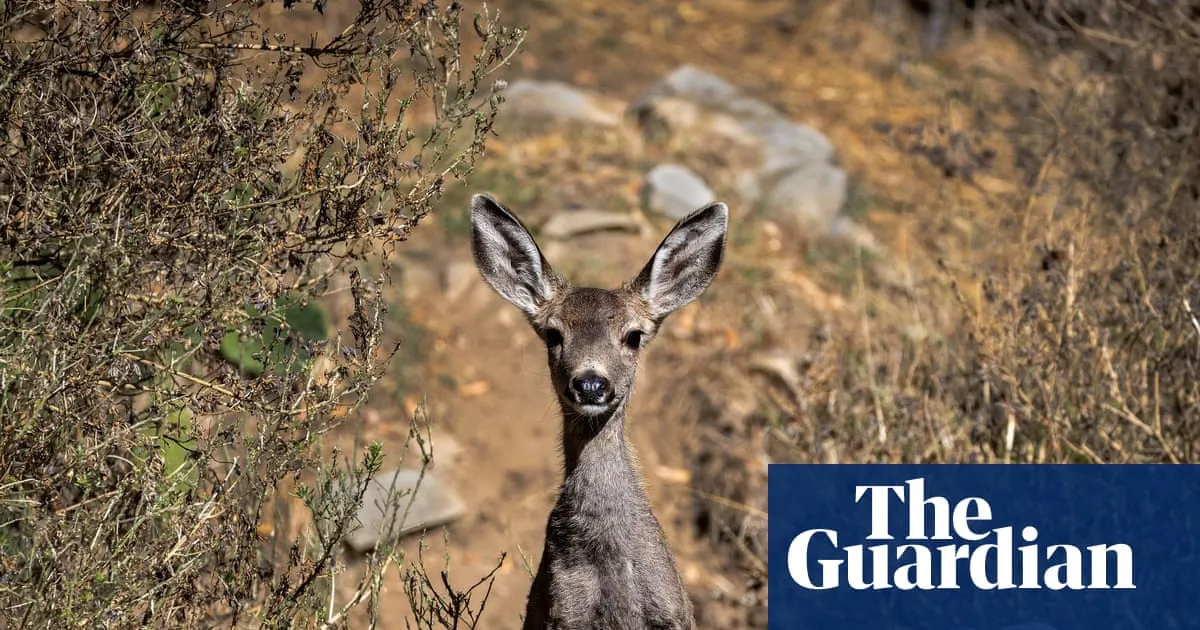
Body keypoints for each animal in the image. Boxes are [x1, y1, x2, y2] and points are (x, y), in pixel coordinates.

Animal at [469, 193, 728, 630]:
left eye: (634, 336)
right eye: (553, 334)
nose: (590, 384)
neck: (612, 563)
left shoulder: (673, 611)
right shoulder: (561, 610)